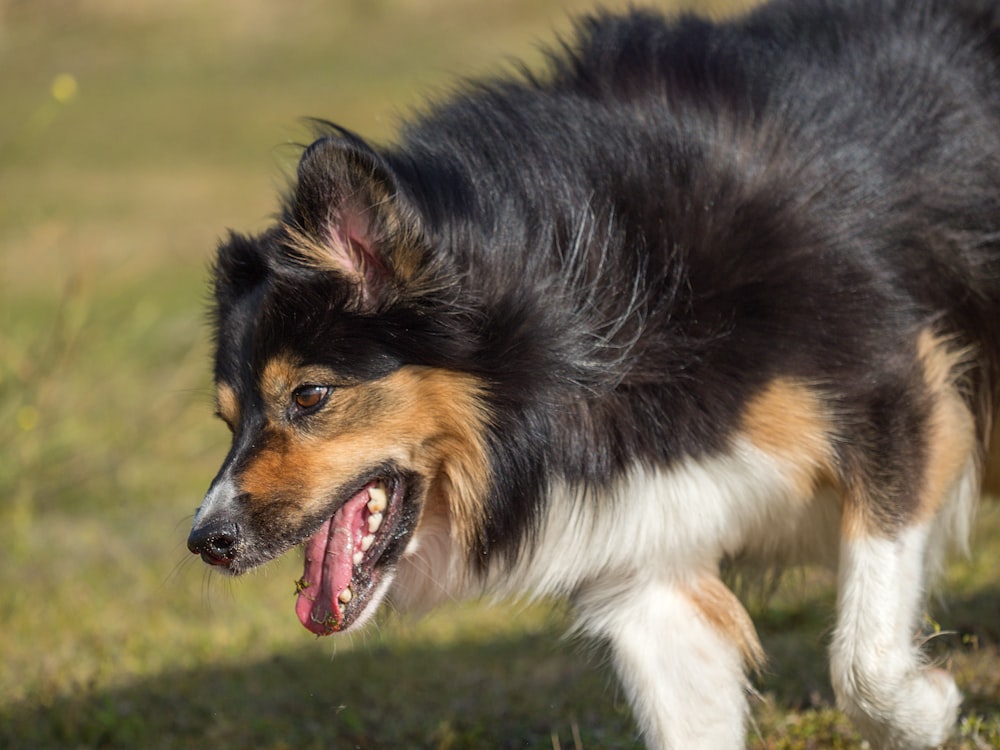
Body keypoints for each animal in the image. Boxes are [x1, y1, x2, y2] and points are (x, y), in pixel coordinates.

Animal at [186, 2, 1000, 748]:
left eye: (309, 395)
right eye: (227, 420)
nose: (206, 542)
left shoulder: (897, 391)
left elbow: (861, 661)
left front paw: (926, 710)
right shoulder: (642, 557)